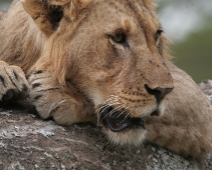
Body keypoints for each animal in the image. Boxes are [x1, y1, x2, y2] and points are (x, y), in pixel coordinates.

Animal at [0, 0, 212, 159]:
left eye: (156, 35)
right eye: (118, 37)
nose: (164, 91)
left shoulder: (196, 103)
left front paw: (59, 93)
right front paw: (7, 77)